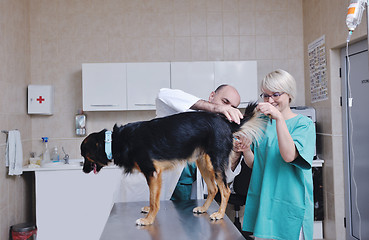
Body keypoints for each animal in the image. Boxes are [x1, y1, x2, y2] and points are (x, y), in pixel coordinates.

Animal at [80, 102, 266, 226]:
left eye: (85, 156)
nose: (83, 171)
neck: (116, 141)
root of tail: (226, 124)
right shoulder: (154, 175)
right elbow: (153, 197)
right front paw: (149, 212)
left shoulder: (152, 173)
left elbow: (154, 199)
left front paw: (148, 220)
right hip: (203, 162)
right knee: (213, 189)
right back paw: (203, 208)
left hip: (216, 162)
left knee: (225, 190)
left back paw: (219, 214)